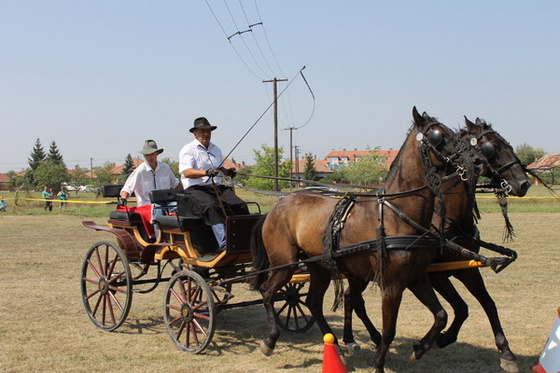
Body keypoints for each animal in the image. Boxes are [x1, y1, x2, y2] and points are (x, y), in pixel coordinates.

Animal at [250, 107, 482, 372]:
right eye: (437, 135)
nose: (475, 160)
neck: (396, 215)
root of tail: (276, 207)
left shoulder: (416, 277)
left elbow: (441, 315)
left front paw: (420, 349)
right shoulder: (391, 285)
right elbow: (389, 330)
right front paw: (380, 363)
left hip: (319, 266)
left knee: (312, 302)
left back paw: (336, 348)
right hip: (285, 264)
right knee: (268, 293)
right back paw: (270, 341)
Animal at [342, 116, 528, 372]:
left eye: (507, 144)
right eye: (492, 148)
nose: (524, 183)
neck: (449, 218)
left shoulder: (465, 269)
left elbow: (486, 304)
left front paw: (506, 352)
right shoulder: (436, 275)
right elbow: (460, 307)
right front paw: (436, 341)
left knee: (349, 296)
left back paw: (354, 338)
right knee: (353, 299)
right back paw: (359, 339)